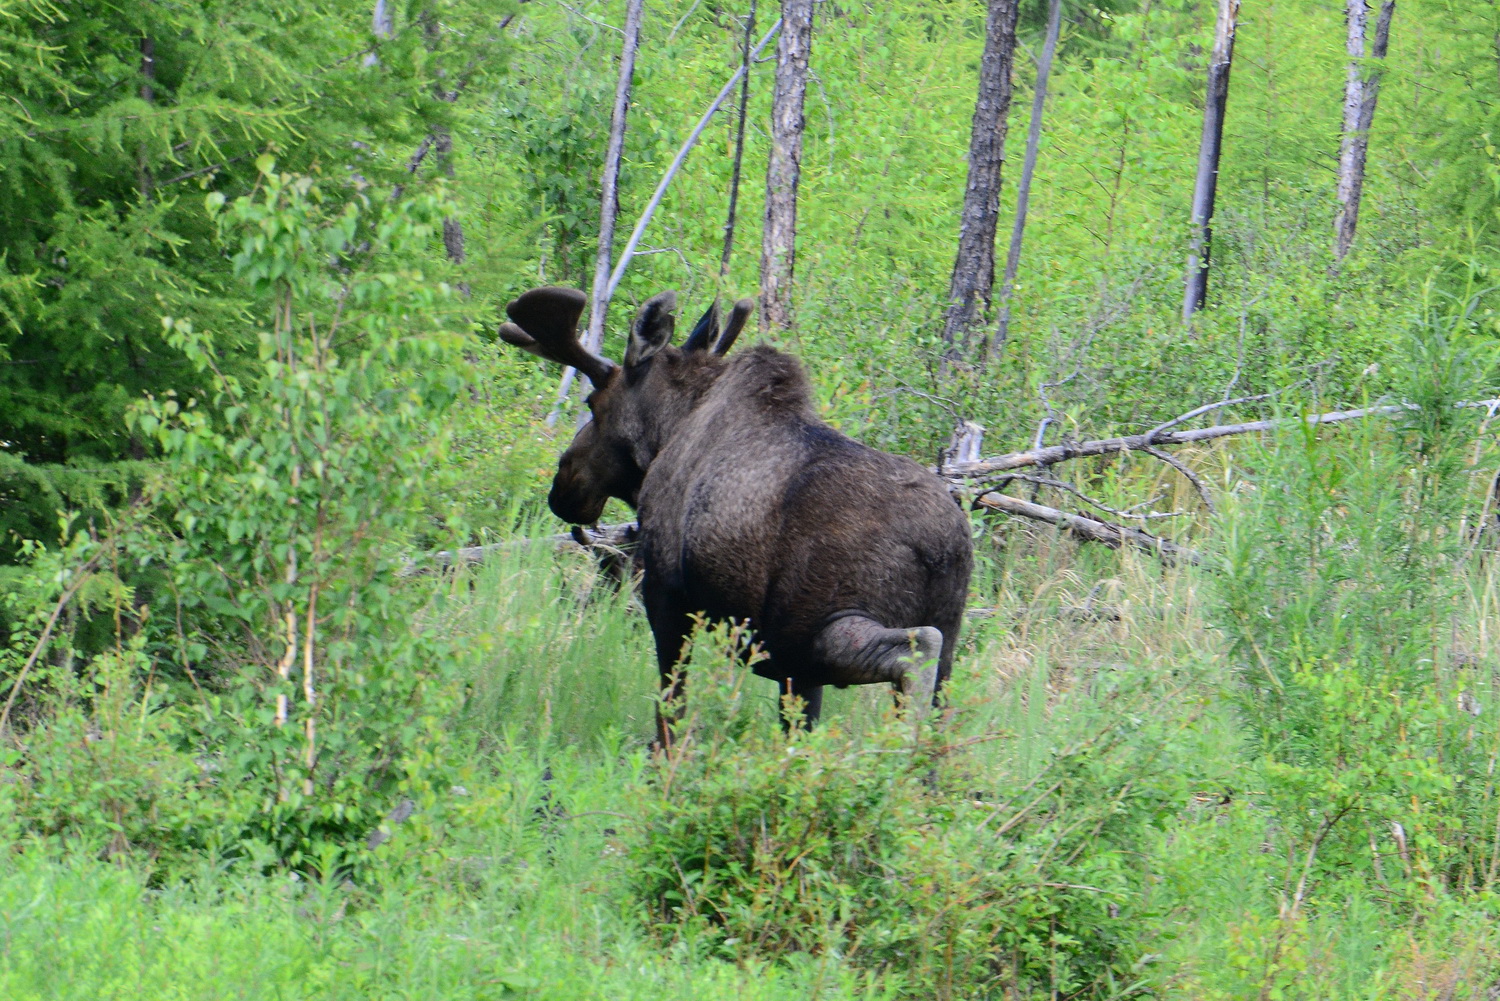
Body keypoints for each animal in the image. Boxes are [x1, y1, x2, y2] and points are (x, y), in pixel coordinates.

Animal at [500, 285, 972, 745]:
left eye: (594, 403)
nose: (562, 485)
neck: (666, 432)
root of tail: (944, 548)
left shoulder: (666, 588)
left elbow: (671, 699)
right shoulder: (793, 671)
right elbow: (797, 733)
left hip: (824, 629)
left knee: (917, 652)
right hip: (935, 639)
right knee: (940, 689)